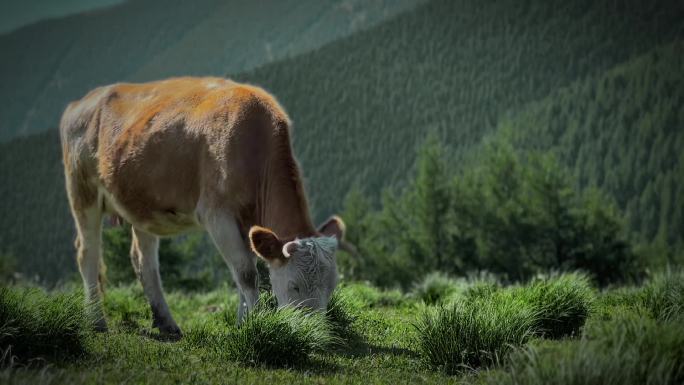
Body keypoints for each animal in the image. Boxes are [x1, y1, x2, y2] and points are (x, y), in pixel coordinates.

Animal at [59, 76, 350, 334]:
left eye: (331, 286)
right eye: (294, 285)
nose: (315, 332)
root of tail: (82, 101)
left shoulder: (247, 225)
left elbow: (241, 276)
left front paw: (243, 323)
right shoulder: (217, 215)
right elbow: (247, 274)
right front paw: (257, 322)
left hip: (141, 202)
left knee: (144, 260)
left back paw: (166, 323)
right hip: (82, 191)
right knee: (88, 253)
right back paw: (97, 321)